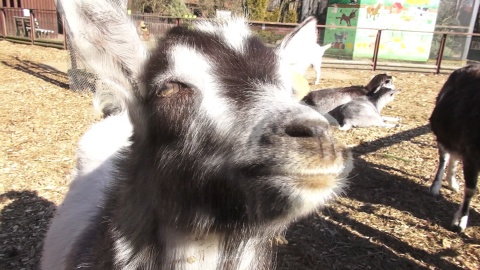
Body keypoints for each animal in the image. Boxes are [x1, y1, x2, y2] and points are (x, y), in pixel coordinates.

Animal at [430, 65, 480, 232]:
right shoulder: (472, 154)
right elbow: (471, 189)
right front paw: (460, 222)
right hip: (443, 135)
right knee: (445, 158)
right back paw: (435, 187)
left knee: (454, 156)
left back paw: (452, 183)